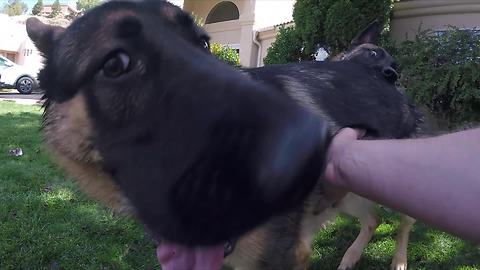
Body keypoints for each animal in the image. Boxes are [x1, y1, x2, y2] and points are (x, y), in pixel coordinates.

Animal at [26, 1, 422, 268]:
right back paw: (351, 257)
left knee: (404, 221)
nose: (304, 139)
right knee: (373, 220)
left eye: (203, 44)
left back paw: (399, 260)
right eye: (115, 65)